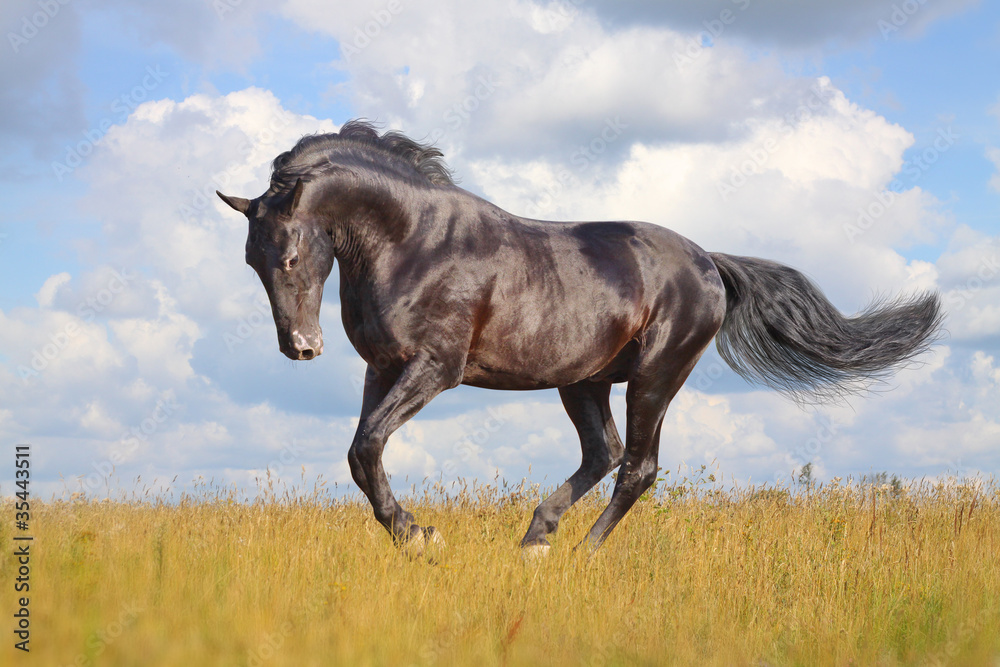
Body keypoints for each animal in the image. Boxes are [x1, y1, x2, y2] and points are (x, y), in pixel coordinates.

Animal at [217, 120, 942, 555]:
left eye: (289, 254)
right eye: (251, 260)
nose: (301, 347)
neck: (415, 241)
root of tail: (709, 262)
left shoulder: (436, 367)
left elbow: (367, 444)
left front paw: (418, 536)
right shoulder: (383, 368)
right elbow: (361, 452)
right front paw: (414, 533)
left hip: (654, 376)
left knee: (637, 466)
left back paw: (581, 554)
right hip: (584, 380)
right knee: (606, 453)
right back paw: (536, 540)